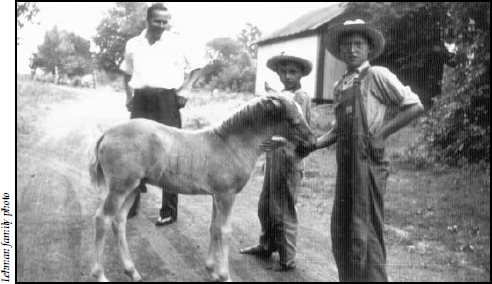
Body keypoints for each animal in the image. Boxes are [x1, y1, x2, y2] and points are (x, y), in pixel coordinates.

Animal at [89, 93, 316, 282]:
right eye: (294, 121)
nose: (312, 145)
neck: (231, 143)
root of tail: (107, 133)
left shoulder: (217, 196)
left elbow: (214, 228)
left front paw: (212, 271)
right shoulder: (226, 195)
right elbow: (225, 231)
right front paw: (224, 275)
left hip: (133, 188)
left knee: (118, 221)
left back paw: (132, 272)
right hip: (119, 188)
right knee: (102, 219)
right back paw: (100, 275)